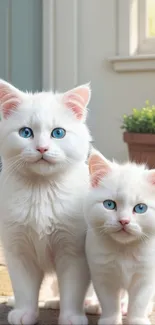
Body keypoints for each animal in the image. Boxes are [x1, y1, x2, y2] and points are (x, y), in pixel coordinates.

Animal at [0, 79, 92, 324]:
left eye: (58, 133)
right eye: (26, 132)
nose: (42, 148)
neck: (41, 191)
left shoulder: (74, 253)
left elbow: (73, 289)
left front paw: (71, 316)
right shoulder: (18, 251)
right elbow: (24, 289)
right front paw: (25, 313)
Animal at [85, 150, 155, 324]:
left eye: (141, 208)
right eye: (109, 204)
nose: (124, 221)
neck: (124, 251)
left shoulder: (146, 276)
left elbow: (139, 302)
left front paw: (137, 320)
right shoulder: (102, 274)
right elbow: (109, 302)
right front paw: (110, 320)